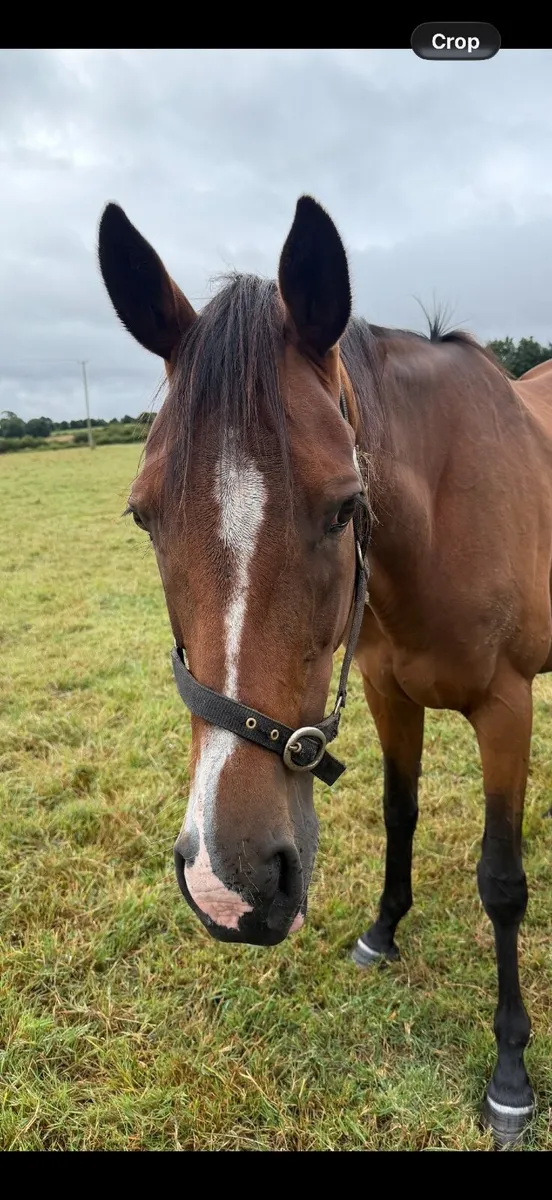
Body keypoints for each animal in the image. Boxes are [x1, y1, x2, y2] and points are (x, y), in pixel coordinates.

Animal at [98, 195, 552, 1147]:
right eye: (142, 515)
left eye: (345, 506)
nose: (227, 885)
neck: (444, 514)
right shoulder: (386, 691)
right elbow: (399, 813)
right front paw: (383, 931)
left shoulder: (507, 707)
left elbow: (501, 882)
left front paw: (510, 1073)